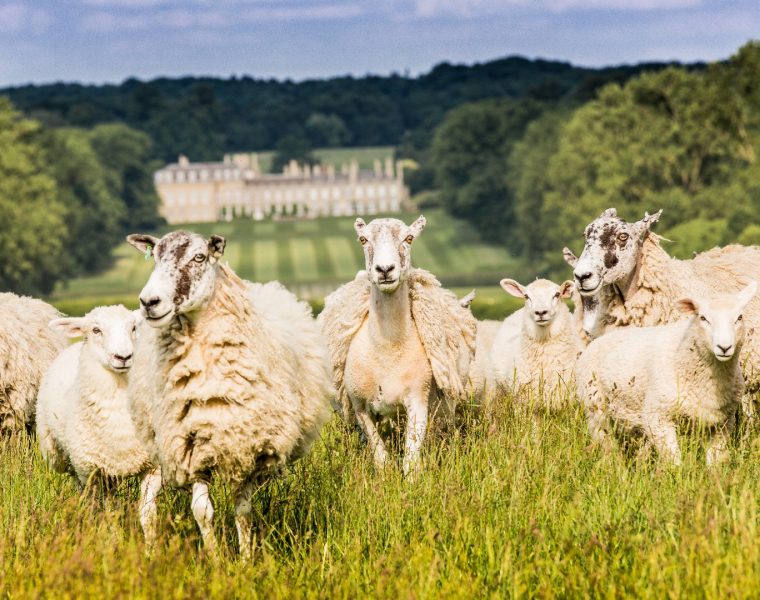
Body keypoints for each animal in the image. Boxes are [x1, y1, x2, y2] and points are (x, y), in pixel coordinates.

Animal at [35, 305, 161, 540]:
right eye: (96, 330)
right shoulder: (94, 472)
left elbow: (148, 515)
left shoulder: (152, 467)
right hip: (67, 460)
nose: (123, 356)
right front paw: (114, 541)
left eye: (134, 327)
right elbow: (109, 514)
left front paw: (152, 546)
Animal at [125, 230, 332, 558]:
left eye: (199, 257)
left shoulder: (248, 445)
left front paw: (246, 558)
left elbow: (243, 512)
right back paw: (150, 551)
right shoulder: (191, 448)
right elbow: (202, 512)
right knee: (147, 505)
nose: (149, 301)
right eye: (155, 256)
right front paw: (215, 559)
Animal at [320, 216, 477, 476]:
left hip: (443, 405)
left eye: (409, 238)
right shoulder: (360, 408)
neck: (388, 349)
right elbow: (380, 458)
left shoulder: (418, 402)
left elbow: (411, 460)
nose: (385, 270)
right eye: (363, 239)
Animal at [577, 282, 757, 465]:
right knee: (607, 446)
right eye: (703, 318)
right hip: (597, 410)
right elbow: (673, 459)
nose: (724, 347)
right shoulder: (658, 417)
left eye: (739, 318)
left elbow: (715, 459)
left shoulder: (722, 423)